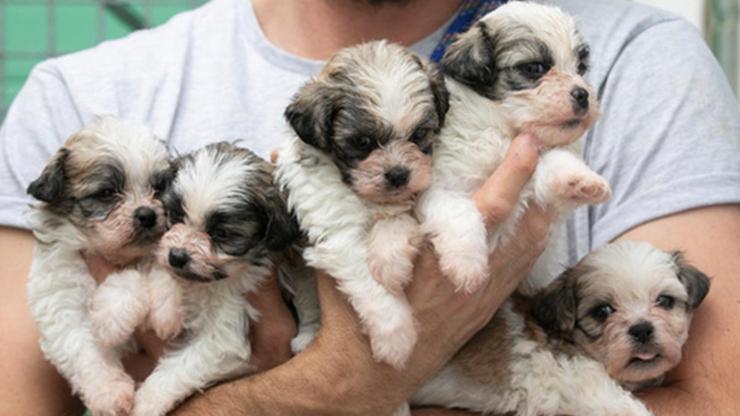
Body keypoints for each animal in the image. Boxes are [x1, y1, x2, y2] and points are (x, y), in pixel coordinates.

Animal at [27, 117, 181, 416]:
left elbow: (148, 269)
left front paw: (119, 312)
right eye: (107, 193)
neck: (113, 256)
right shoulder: (62, 300)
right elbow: (83, 349)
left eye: (158, 189)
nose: (147, 214)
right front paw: (108, 392)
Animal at [131, 141, 300, 414]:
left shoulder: (227, 333)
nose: (177, 256)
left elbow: (183, 366)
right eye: (176, 216)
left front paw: (148, 400)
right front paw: (165, 309)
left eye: (222, 234)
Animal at [274, 40, 448, 368]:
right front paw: (396, 336)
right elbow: (372, 286)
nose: (398, 174)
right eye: (363, 142)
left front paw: (391, 256)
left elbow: (394, 224)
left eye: (419, 134)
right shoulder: (338, 237)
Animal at [416, 0, 612, 292]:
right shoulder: (438, 186)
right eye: (534, 68)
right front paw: (467, 264)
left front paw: (579, 178)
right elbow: (459, 211)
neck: (504, 134)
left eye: (581, 68)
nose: (583, 94)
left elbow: (554, 160)